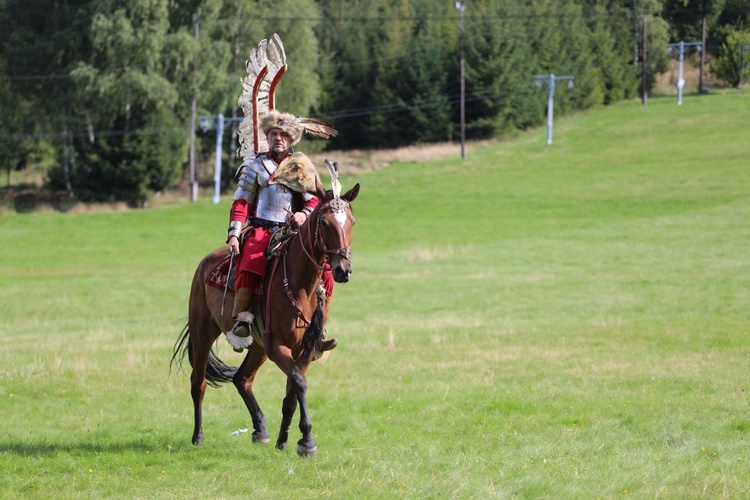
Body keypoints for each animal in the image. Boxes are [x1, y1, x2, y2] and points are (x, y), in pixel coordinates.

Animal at [172, 178, 360, 456]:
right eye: (325, 223)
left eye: (351, 222)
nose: (342, 270)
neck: (300, 285)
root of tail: (205, 263)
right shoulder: (278, 346)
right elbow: (300, 382)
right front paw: (307, 440)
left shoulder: (302, 350)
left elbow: (292, 391)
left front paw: (284, 440)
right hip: (203, 333)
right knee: (199, 382)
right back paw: (198, 436)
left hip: (258, 347)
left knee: (242, 378)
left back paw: (260, 429)